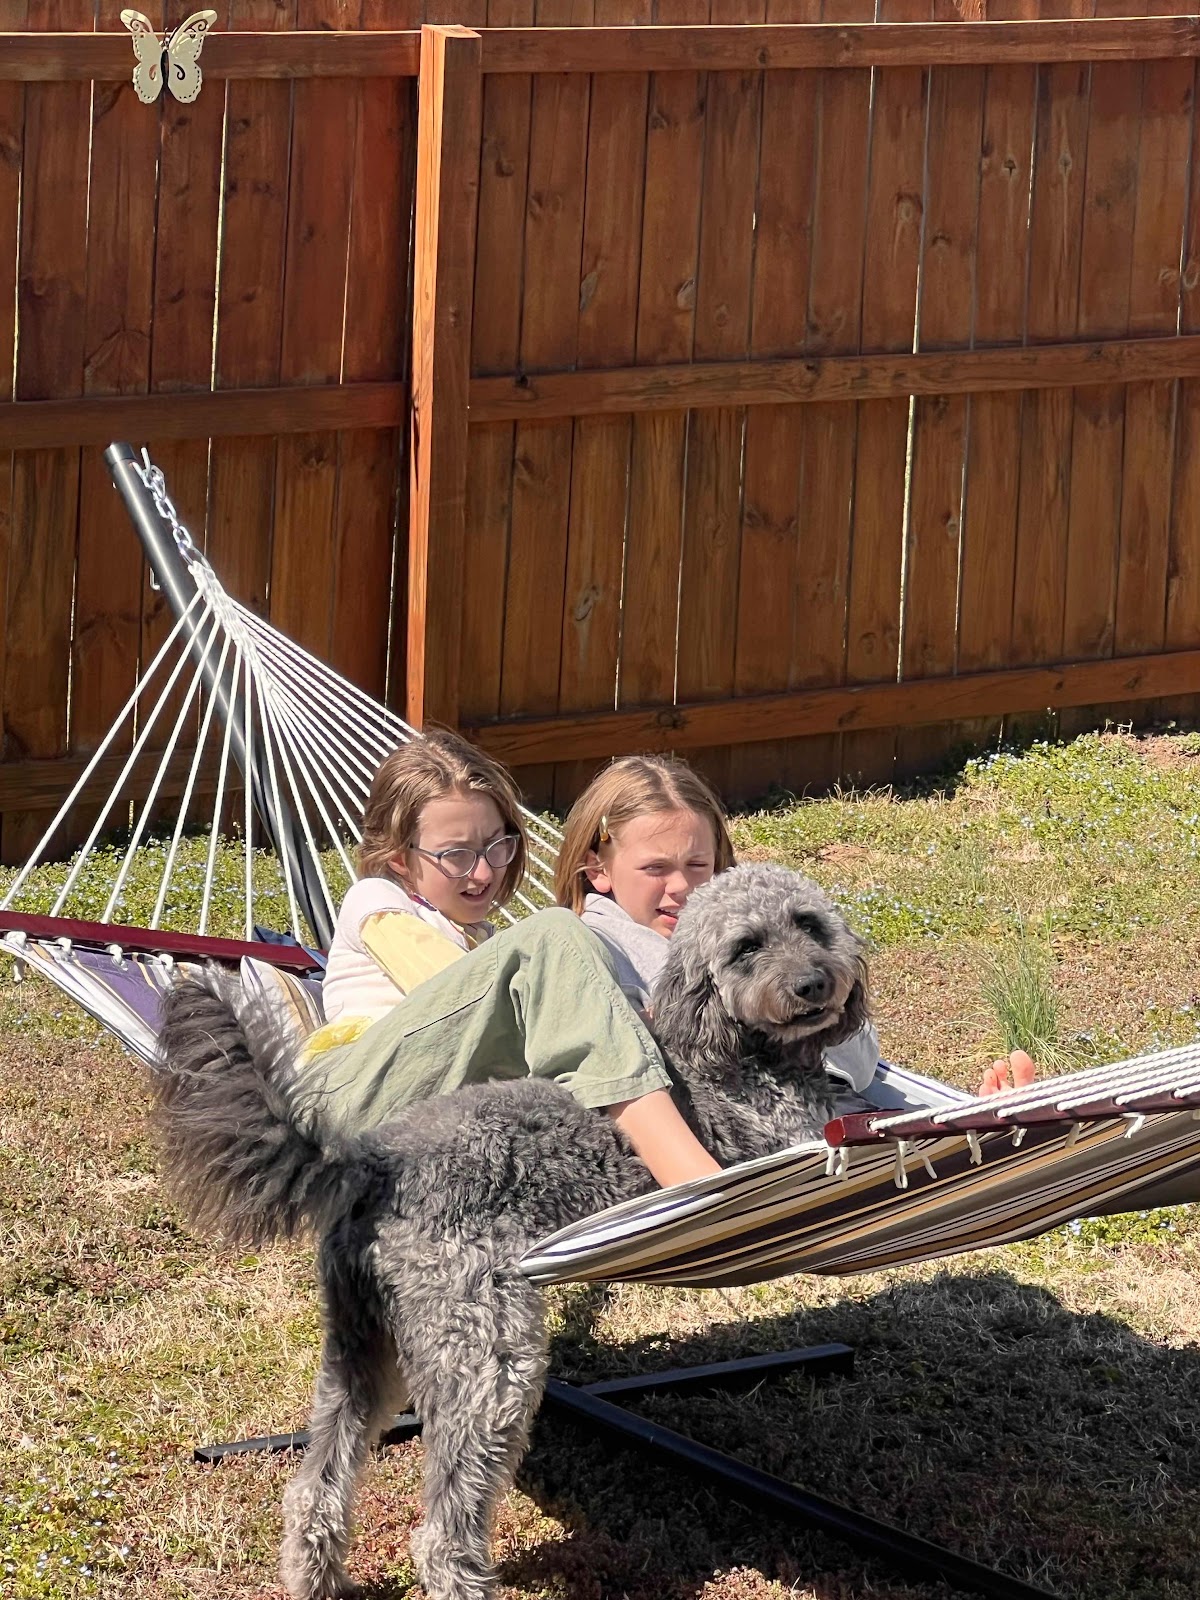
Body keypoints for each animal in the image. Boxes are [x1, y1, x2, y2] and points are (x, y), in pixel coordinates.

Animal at [153, 863, 868, 1600]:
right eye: (746, 947)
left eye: (809, 924)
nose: (813, 984)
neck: (736, 1049)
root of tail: (375, 1161)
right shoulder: (790, 1137)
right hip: (487, 1357)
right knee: (441, 1536)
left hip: (361, 1350)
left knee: (315, 1489)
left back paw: (319, 1579)